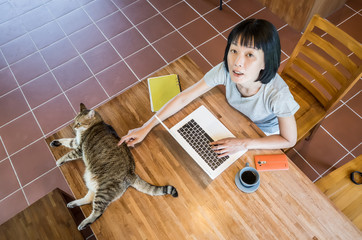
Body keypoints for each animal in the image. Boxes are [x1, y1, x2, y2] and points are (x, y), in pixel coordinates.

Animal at [49, 103, 178, 231]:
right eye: (74, 121)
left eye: (79, 123)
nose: (73, 127)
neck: (95, 124)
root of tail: (131, 173)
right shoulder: (76, 142)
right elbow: (67, 141)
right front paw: (56, 142)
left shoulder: (79, 149)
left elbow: (68, 154)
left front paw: (59, 160)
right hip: (93, 182)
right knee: (89, 199)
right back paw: (73, 204)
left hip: (104, 190)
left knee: (98, 211)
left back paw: (84, 222)